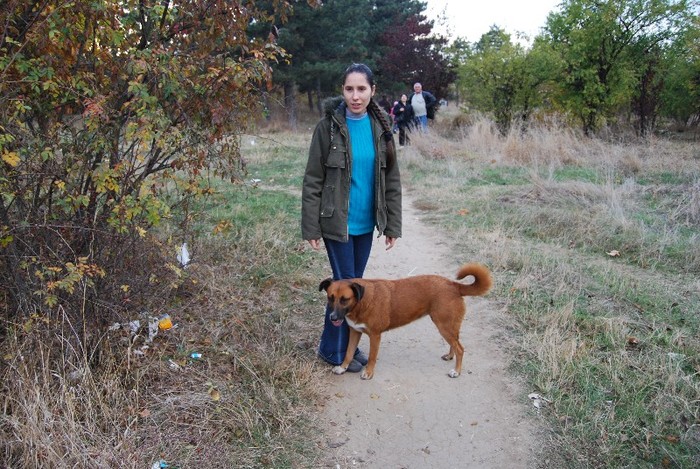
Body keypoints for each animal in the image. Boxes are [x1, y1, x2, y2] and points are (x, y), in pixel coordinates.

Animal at [322, 262, 492, 378]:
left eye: (345, 299)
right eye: (330, 297)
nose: (333, 317)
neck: (362, 301)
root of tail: (454, 285)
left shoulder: (375, 336)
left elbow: (371, 357)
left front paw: (368, 372)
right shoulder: (355, 332)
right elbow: (348, 353)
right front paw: (342, 368)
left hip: (444, 326)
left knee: (460, 349)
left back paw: (456, 371)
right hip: (448, 326)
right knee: (455, 344)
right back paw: (450, 356)